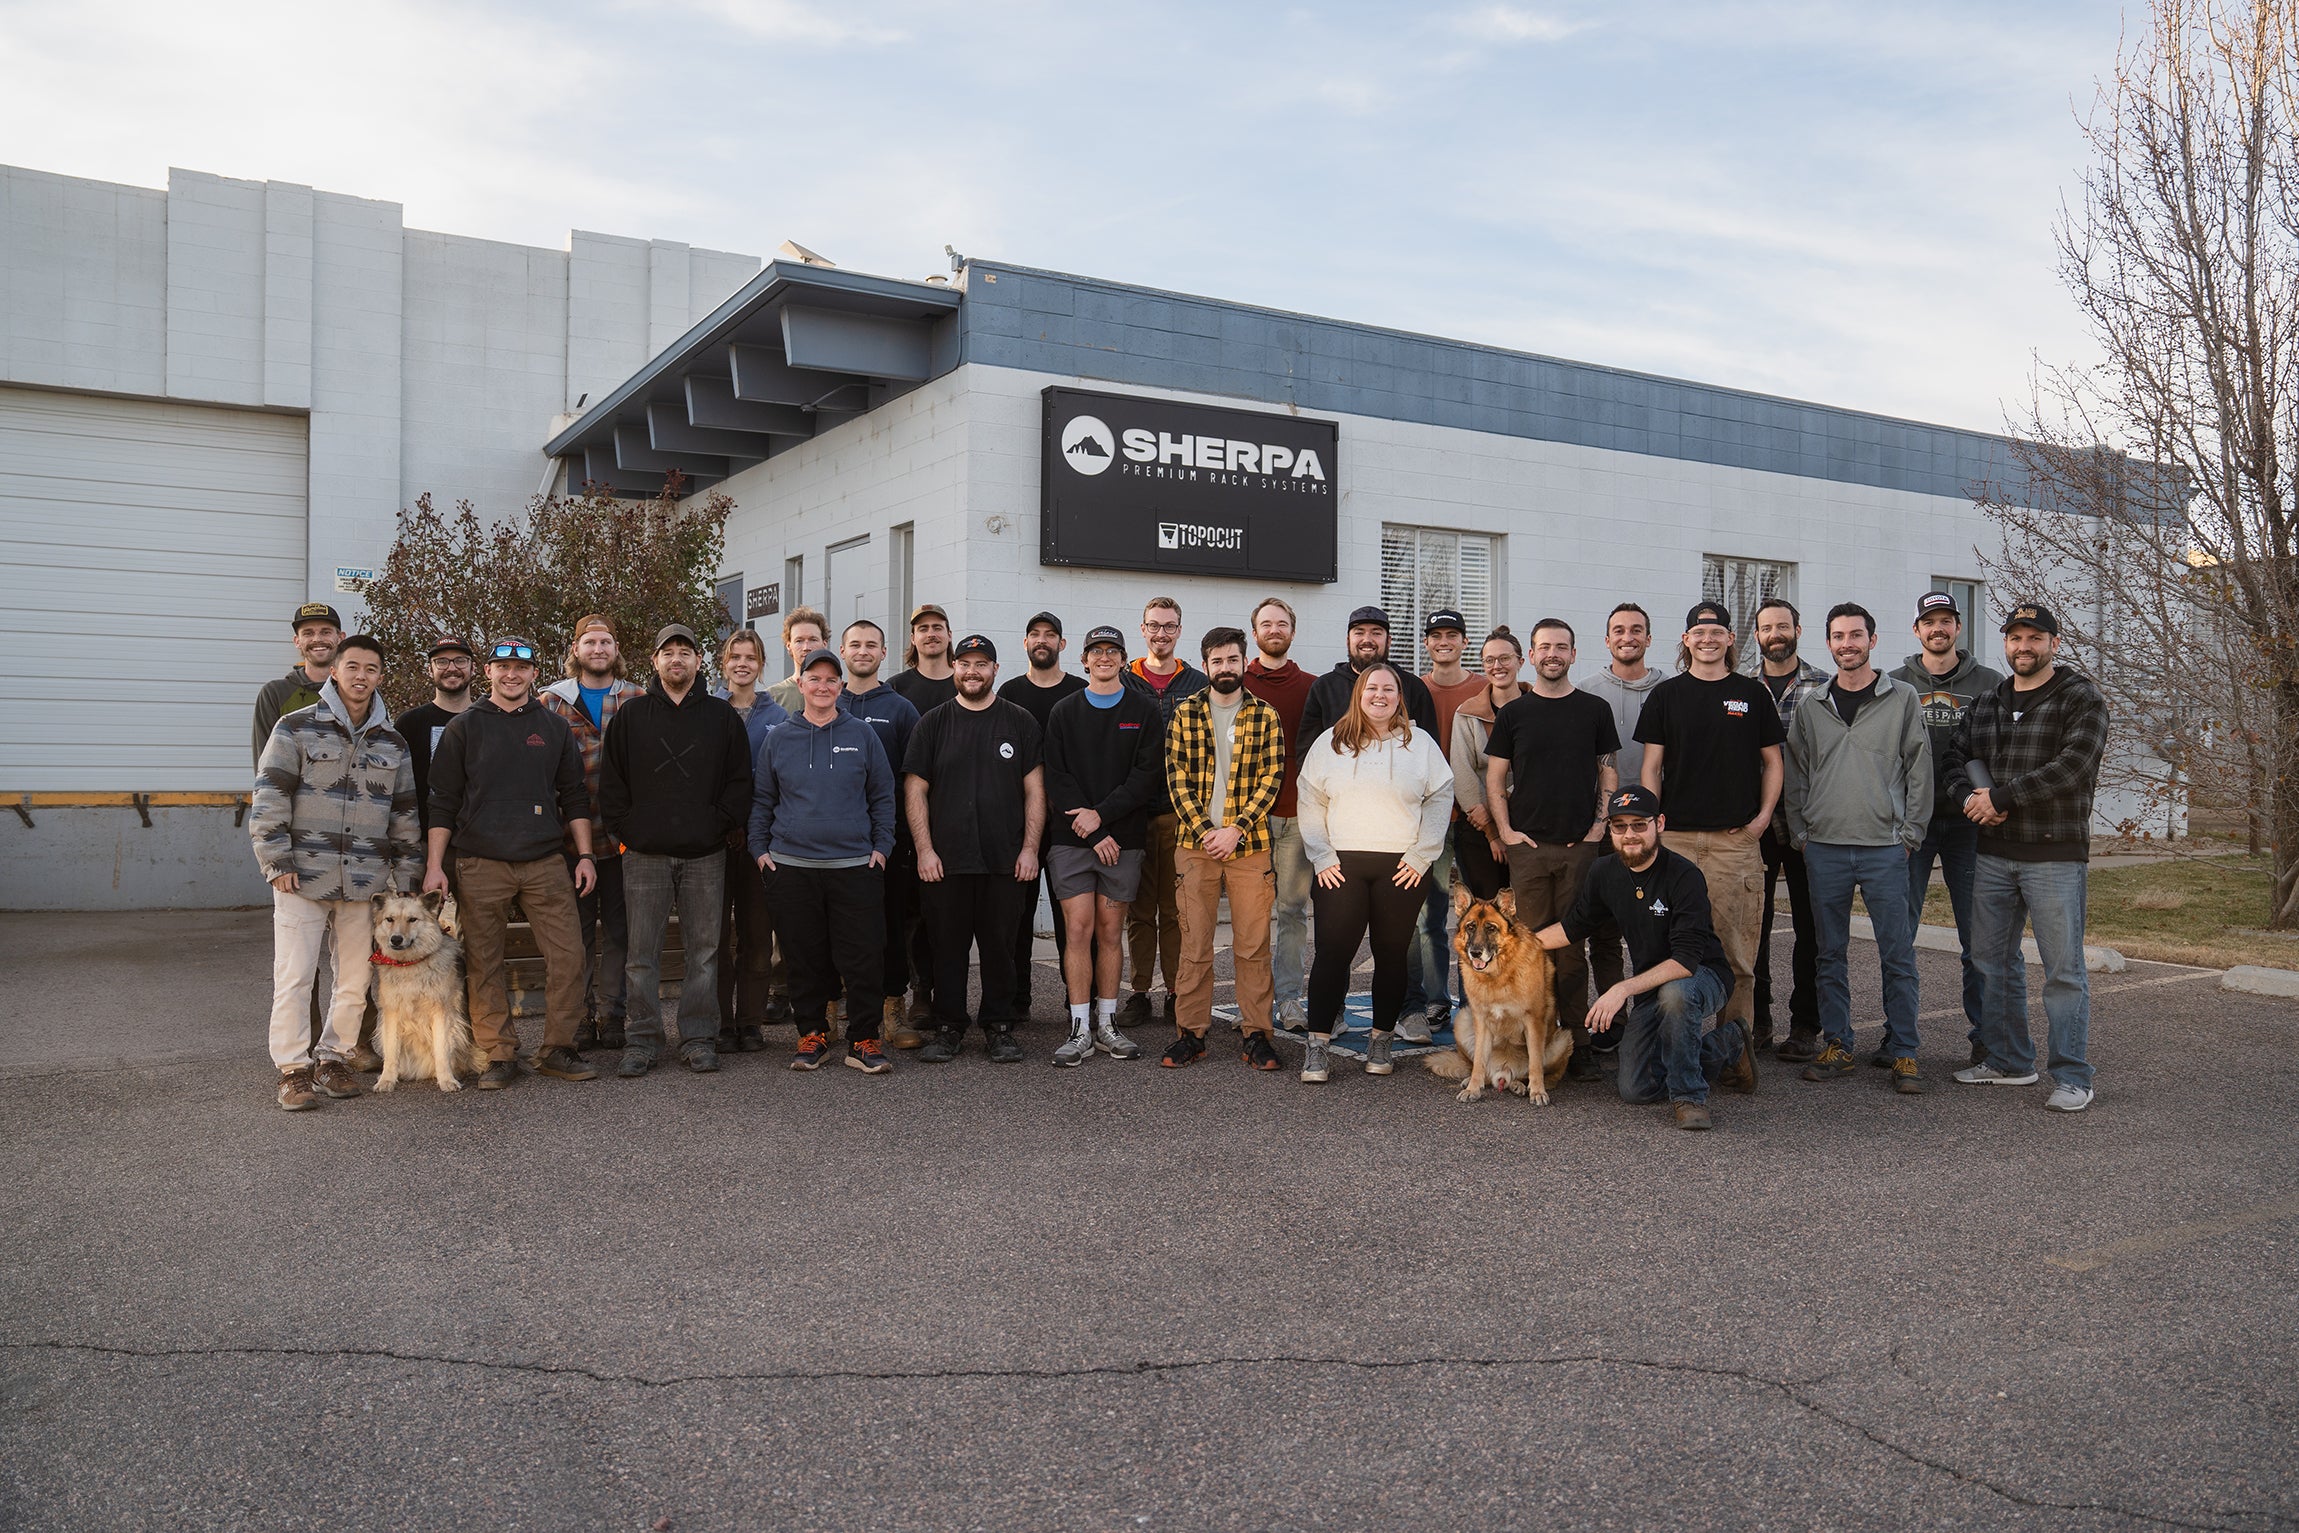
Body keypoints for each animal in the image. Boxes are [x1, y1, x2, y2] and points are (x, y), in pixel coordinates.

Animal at [368, 889, 482, 1092]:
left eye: (412, 919)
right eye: (389, 919)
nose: (396, 939)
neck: (410, 964)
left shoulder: (441, 1012)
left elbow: (442, 1050)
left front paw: (446, 1080)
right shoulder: (391, 1013)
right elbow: (391, 1051)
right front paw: (386, 1080)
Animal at [1424, 886, 1570, 1105]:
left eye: (1491, 928)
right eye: (1470, 927)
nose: (1475, 953)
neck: (1497, 976)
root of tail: (1503, 1072)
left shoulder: (1534, 1021)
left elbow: (1535, 1064)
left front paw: (1538, 1091)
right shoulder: (1481, 1021)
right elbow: (1478, 1063)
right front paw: (1473, 1088)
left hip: (1563, 1039)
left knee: (1533, 1074)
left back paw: (1521, 1085)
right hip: (1463, 1019)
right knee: (1481, 1069)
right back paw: (1473, 1082)